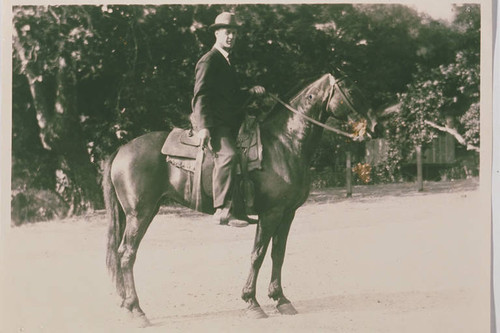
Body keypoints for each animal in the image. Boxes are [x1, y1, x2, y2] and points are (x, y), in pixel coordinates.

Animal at [102, 72, 376, 324]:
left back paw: (127, 305)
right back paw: (137, 310)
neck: (285, 143)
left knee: (122, 253)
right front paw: (252, 302)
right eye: (352, 91)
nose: (373, 127)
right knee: (127, 255)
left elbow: (278, 253)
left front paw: (281, 299)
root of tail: (121, 149)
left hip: (142, 213)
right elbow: (258, 254)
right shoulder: (270, 213)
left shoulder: (288, 213)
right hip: (140, 214)